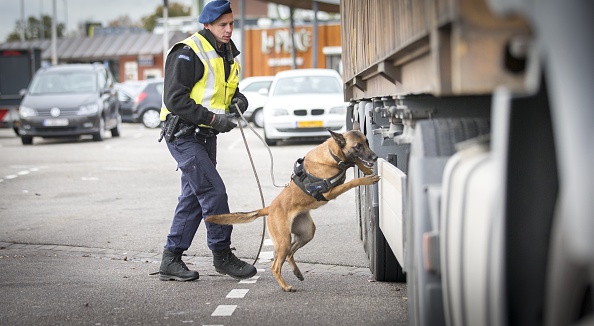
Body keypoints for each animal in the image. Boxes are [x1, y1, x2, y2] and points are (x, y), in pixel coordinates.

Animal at [206, 130, 376, 292]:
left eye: (367, 142)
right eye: (357, 146)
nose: (374, 157)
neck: (332, 155)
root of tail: (269, 208)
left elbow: (355, 162)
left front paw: (366, 169)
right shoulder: (330, 192)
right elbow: (352, 181)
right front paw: (366, 179)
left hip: (306, 233)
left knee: (290, 253)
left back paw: (297, 272)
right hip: (283, 240)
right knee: (275, 266)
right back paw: (286, 286)